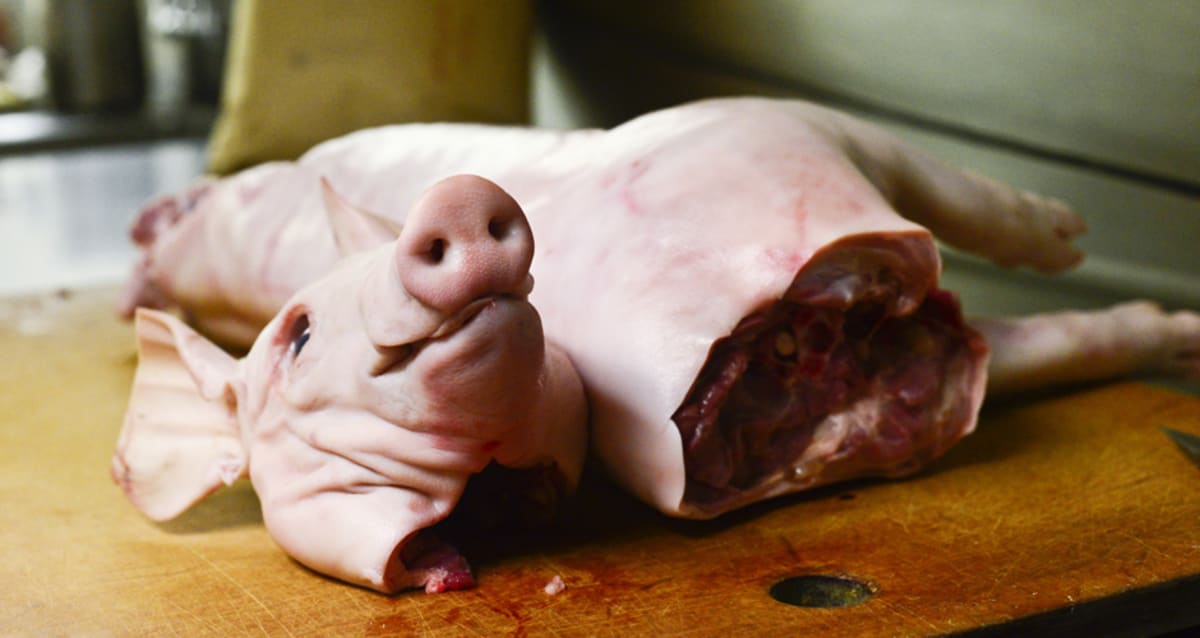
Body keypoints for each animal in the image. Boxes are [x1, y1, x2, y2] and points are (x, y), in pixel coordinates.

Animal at [117, 97, 1200, 525]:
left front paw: (1083, 250)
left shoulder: (782, 134)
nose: (818, 356)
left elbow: (1014, 254)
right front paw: (1130, 289)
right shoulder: (786, 135)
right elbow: (1003, 257)